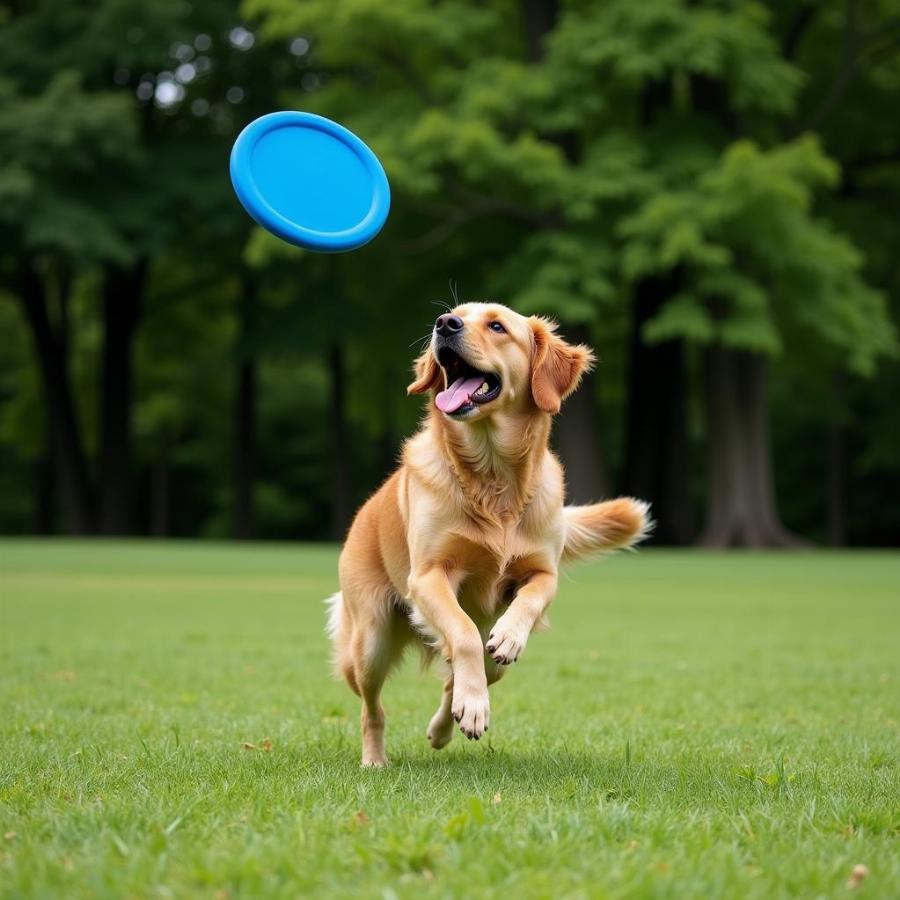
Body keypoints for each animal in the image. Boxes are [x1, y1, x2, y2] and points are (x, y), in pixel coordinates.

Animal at [326, 304, 652, 768]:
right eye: (453, 315)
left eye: (497, 326)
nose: (444, 324)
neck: (493, 473)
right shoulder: (428, 575)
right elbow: (461, 634)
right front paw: (474, 706)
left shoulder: (543, 573)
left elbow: (522, 608)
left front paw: (508, 641)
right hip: (370, 642)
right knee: (373, 708)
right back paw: (375, 759)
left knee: (480, 668)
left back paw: (444, 725)